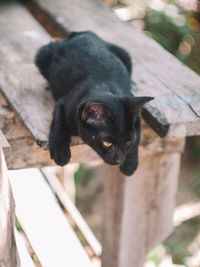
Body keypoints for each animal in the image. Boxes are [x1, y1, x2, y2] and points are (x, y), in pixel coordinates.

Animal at [34, 30, 153, 176]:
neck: (102, 86)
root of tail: (82, 33)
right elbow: (58, 121)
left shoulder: (136, 116)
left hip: (126, 55)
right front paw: (60, 151)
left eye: (128, 141)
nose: (119, 159)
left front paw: (130, 164)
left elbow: (138, 136)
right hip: (42, 54)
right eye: (107, 143)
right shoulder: (64, 102)